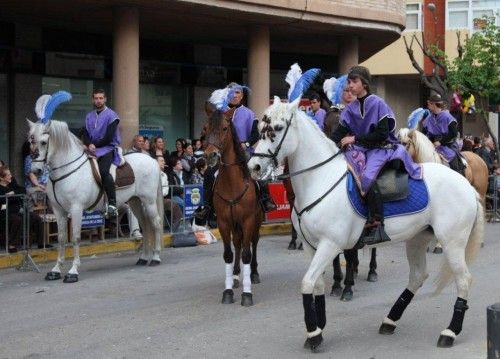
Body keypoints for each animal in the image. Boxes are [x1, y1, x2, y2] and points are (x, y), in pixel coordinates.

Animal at [27, 121, 164, 284]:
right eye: (30, 141)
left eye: (43, 142)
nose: (35, 170)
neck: (67, 170)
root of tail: (151, 160)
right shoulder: (58, 211)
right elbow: (61, 239)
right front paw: (55, 270)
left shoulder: (76, 209)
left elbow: (76, 238)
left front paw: (73, 271)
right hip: (135, 201)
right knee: (145, 224)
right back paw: (143, 258)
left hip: (149, 201)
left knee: (155, 224)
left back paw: (155, 257)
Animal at [204, 108, 264, 308]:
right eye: (206, 128)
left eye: (224, 128)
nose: (210, 155)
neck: (232, 182)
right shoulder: (224, 222)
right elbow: (229, 254)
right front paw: (228, 291)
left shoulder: (247, 220)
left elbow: (246, 253)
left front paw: (247, 294)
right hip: (234, 223)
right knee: (237, 243)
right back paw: (237, 275)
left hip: (256, 221)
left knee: (253, 242)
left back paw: (253, 273)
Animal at [249, 97, 484, 352]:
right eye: (261, 129)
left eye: (277, 128)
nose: (254, 167)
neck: (320, 180)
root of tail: (467, 186)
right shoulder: (311, 247)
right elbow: (317, 286)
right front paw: (319, 327)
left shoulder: (330, 245)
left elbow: (307, 283)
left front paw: (314, 334)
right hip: (417, 239)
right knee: (418, 276)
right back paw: (390, 320)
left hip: (453, 242)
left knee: (463, 280)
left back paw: (450, 332)